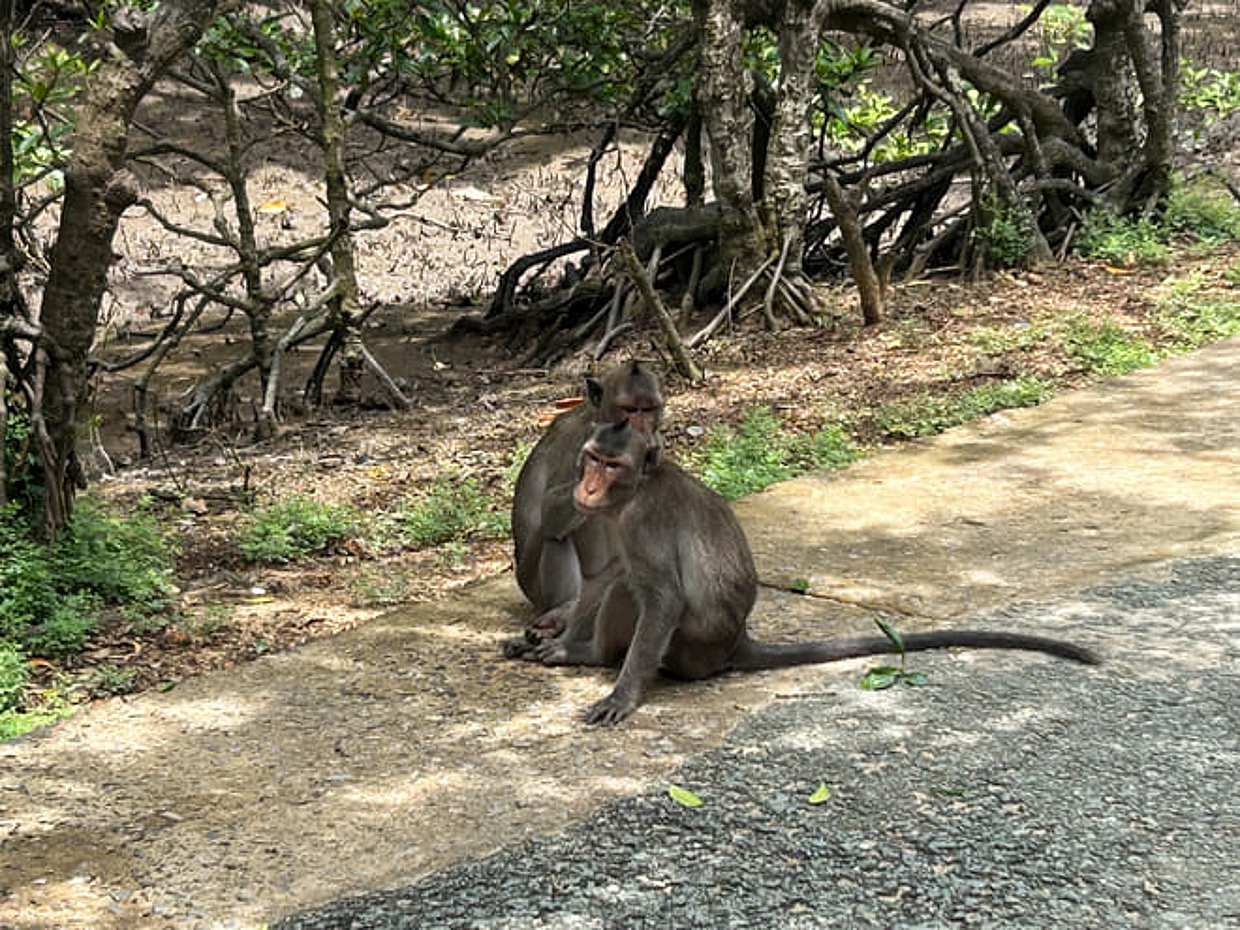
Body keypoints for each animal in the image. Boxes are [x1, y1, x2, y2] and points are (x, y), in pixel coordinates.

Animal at [509, 362, 663, 640]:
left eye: (648, 410)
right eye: (630, 409)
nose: (642, 428)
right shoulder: (578, 444)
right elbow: (550, 507)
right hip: (535, 586)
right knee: (553, 532)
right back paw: (564, 609)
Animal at [515, 421, 1099, 726]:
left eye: (611, 466)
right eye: (591, 458)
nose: (587, 487)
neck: (634, 490)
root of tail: (736, 642)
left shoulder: (643, 521)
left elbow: (661, 599)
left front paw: (619, 691)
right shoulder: (609, 517)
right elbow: (603, 573)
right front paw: (561, 636)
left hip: (693, 651)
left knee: (637, 594)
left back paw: (597, 656)